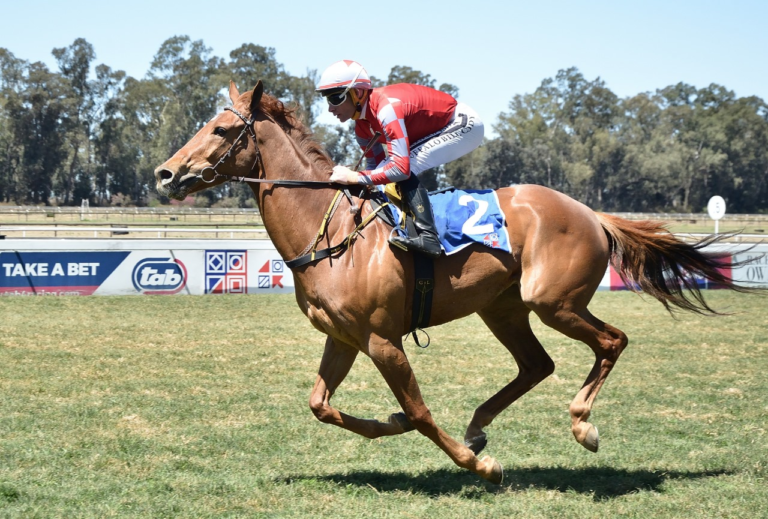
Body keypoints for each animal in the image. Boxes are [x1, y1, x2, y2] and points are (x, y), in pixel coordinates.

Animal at [154, 80, 752, 484]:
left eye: (221, 129)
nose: (165, 173)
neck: (333, 232)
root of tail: (590, 212)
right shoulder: (343, 337)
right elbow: (321, 405)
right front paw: (392, 423)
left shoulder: (381, 339)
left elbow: (420, 411)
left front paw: (479, 466)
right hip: (503, 307)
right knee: (538, 364)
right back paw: (479, 425)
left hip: (551, 301)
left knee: (612, 341)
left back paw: (582, 426)